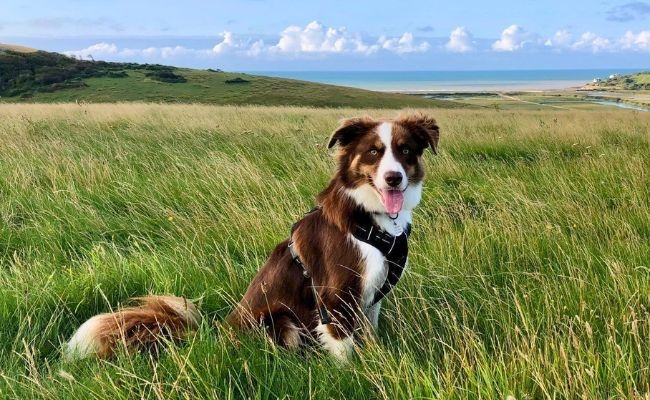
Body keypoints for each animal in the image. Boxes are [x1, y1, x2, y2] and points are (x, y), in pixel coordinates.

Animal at [66, 111, 438, 362]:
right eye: (373, 152)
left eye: (405, 150)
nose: (394, 179)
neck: (371, 218)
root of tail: (219, 334)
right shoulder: (335, 296)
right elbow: (344, 350)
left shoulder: (371, 296)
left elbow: (369, 334)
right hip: (277, 317)